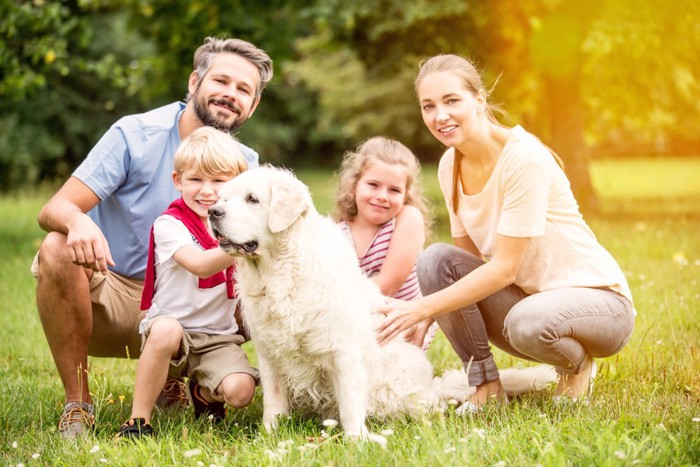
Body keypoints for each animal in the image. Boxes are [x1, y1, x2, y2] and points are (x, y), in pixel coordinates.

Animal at [208, 166, 556, 440]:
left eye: (252, 199)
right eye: (223, 198)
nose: (213, 212)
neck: (281, 273)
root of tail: (432, 385)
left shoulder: (342, 350)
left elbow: (350, 402)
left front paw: (357, 441)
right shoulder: (270, 353)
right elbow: (274, 402)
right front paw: (269, 436)